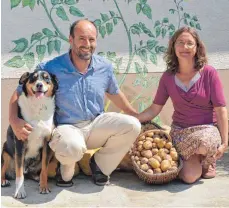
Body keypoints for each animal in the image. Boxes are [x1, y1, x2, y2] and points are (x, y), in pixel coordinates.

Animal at [1, 70, 58, 199]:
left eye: (47, 79)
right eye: (33, 78)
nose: (39, 85)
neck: (38, 105)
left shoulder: (47, 142)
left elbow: (44, 169)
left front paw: (44, 186)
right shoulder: (20, 142)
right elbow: (19, 174)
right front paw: (20, 191)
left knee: (33, 172)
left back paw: (37, 178)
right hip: (6, 152)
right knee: (5, 170)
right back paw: (3, 181)